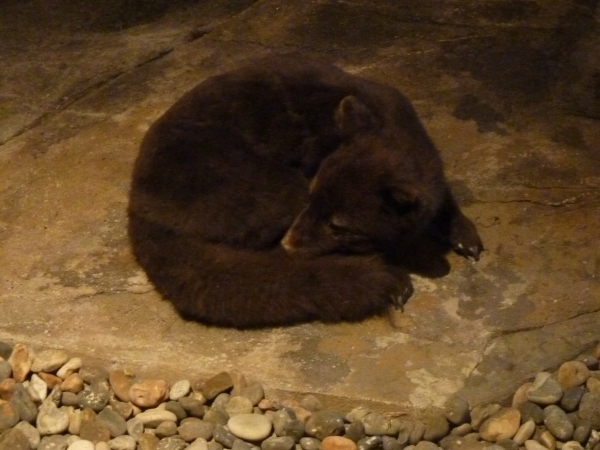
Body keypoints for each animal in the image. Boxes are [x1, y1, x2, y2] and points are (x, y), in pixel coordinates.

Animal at [127, 53, 482, 326]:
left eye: (339, 224)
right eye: (313, 198)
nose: (290, 243)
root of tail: (138, 214)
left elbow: (446, 202)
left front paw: (463, 233)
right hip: (276, 190)